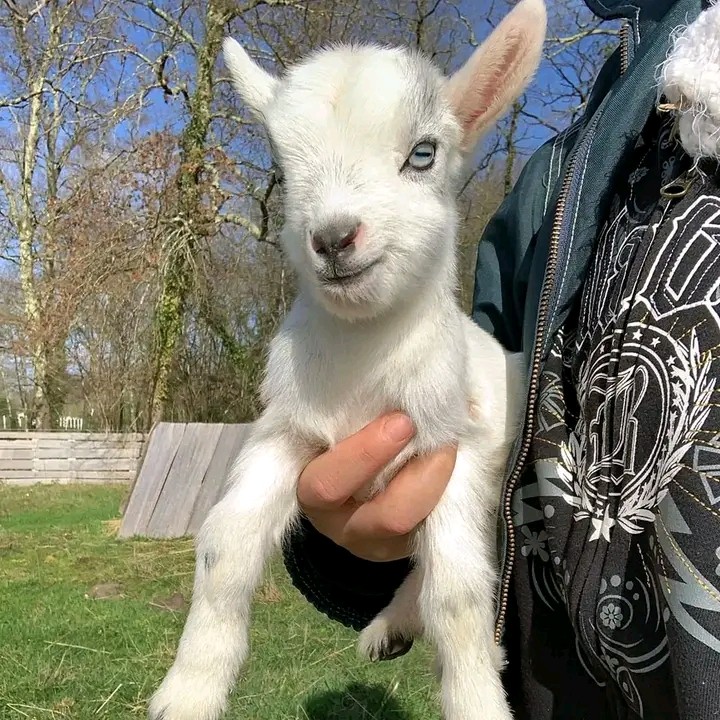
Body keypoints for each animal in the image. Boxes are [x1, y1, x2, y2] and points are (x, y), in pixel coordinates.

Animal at [148, 1, 546, 718]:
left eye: (423, 153)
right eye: (283, 164)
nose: (333, 238)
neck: (362, 365)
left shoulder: (451, 448)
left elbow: (460, 593)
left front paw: (476, 698)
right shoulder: (287, 434)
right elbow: (225, 544)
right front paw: (189, 690)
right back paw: (392, 629)